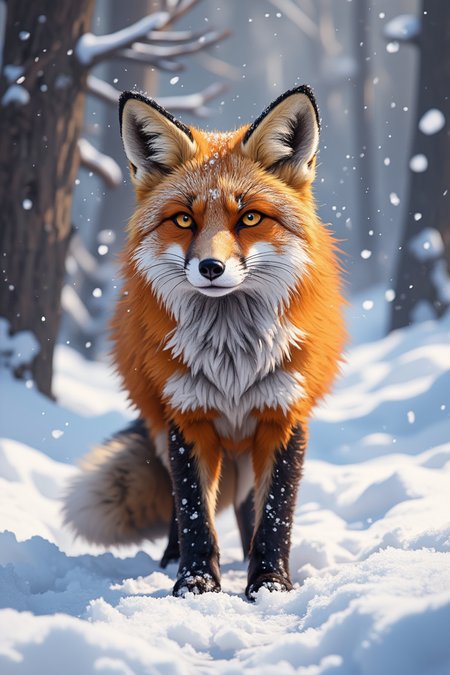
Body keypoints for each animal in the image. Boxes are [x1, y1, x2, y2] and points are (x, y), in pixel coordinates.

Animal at [63, 85, 346, 599]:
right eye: (183, 220)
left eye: (249, 217)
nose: (210, 268)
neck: (232, 360)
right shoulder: (188, 416)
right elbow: (195, 512)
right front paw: (195, 582)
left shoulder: (284, 415)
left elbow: (275, 515)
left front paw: (269, 583)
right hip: (162, 428)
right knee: (184, 507)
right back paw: (171, 559)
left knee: (248, 507)